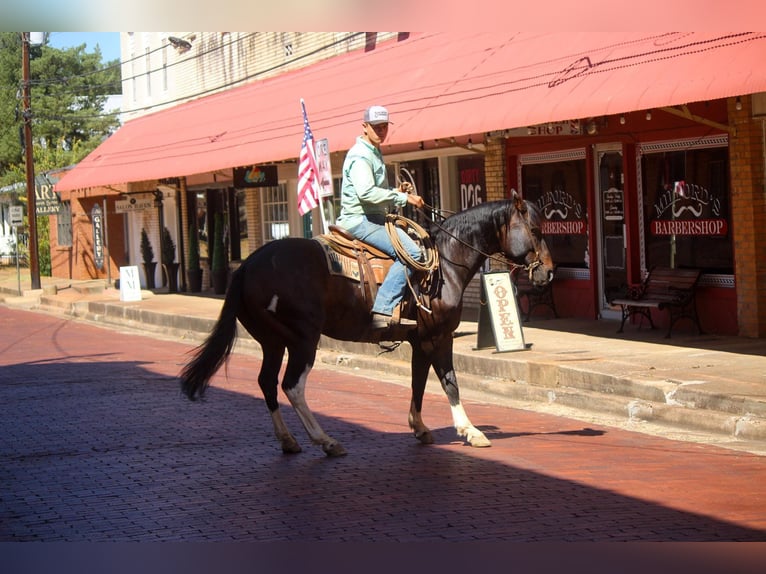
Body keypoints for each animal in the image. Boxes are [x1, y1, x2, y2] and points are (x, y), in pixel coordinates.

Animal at [183, 194, 556, 460]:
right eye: (536, 231)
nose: (549, 272)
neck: (445, 262)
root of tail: (248, 265)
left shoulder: (420, 339)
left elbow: (419, 382)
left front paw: (420, 427)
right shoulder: (439, 336)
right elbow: (449, 382)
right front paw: (470, 431)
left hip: (273, 341)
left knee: (267, 384)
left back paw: (288, 440)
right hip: (303, 339)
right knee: (292, 386)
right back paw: (326, 441)